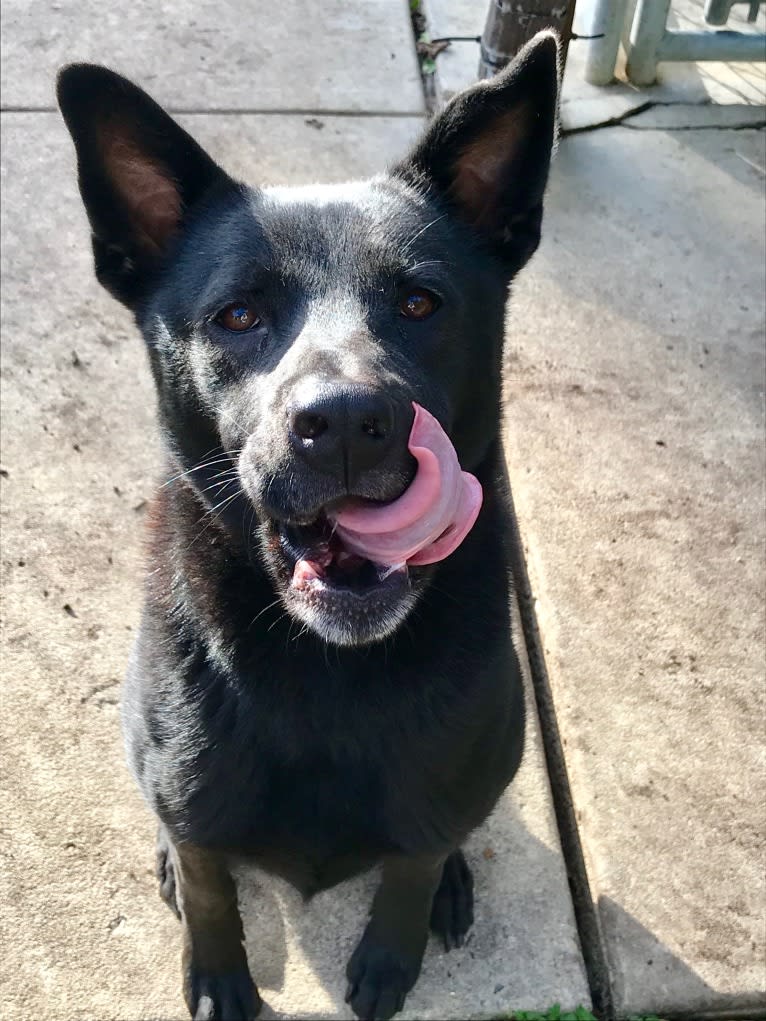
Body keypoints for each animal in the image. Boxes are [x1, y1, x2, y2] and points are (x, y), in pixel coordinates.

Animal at [58, 33, 559, 1021]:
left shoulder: (439, 793)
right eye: (239, 314)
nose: (350, 421)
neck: (326, 668)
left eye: (419, 303)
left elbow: (411, 865)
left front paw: (396, 949)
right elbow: (210, 881)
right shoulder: (193, 792)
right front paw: (218, 970)